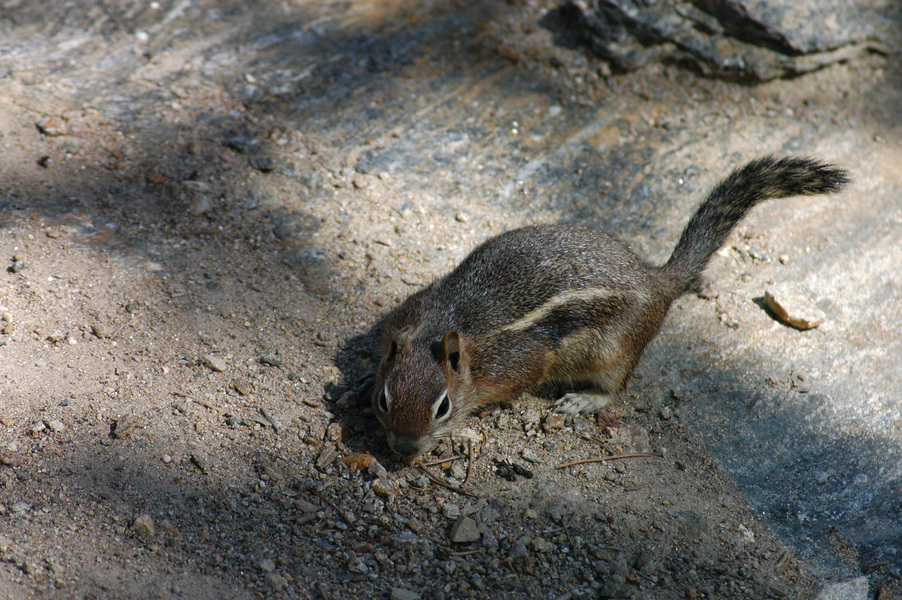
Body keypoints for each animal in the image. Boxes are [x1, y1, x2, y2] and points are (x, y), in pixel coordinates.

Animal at [370, 156, 852, 460]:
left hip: (613, 348)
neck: (446, 324)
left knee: (616, 388)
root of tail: (657, 282)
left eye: (443, 408)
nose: (403, 449)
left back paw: (582, 401)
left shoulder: (517, 363)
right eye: (383, 399)